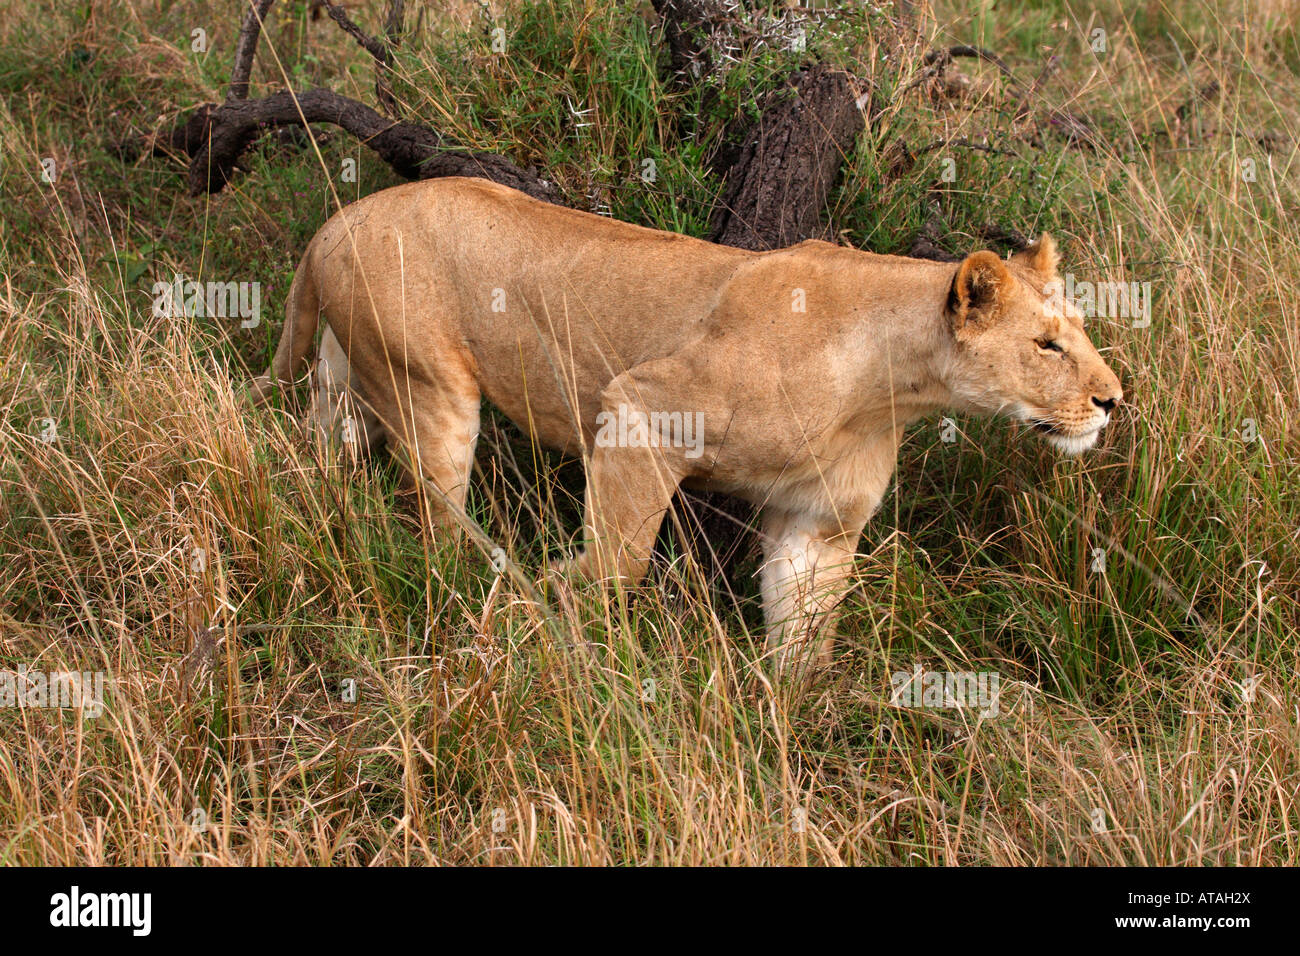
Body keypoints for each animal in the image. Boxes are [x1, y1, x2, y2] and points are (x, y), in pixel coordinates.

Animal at [252, 176, 1122, 675]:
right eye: (1048, 345)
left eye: (1078, 332)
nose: (1114, 399)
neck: (890, 387)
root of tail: (334, 222)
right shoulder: (641, 409)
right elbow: (621, 561)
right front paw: (566, 600)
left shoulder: (817, 523)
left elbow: (805, 635)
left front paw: (791, 726)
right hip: (429, 384)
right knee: (433, 515)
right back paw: (497, 578)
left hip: (342, 380)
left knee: (322, 456)